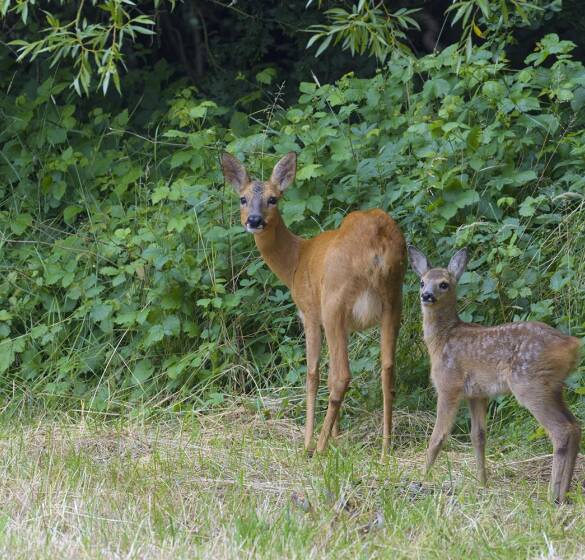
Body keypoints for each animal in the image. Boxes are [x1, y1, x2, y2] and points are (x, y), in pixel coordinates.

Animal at [220, 153, 406, 456]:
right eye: (243, 198)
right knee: (387, 370)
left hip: (334, 301)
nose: (255, 220)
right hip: (395, 297)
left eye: (273, 198)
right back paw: (385, 448)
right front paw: (337, 437)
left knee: (341, 375)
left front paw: (309, 441)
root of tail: (376, 242)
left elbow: (312, 373)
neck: (296, 260)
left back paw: (317, 449)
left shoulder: (308, 311)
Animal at [408, 245, 580, 504]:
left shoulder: (448, 385)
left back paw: (553, 495)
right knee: (576, 425)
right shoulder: (477, 394)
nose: (426, 295)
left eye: (444, 284)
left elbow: (438, 437)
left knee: (562, 430)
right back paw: (565, 494)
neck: (441, 340)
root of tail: (570, 345)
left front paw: (421, 478)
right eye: (421, 282)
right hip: (554, 387)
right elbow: (478, 436)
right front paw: (483, 484)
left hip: (530, 385)